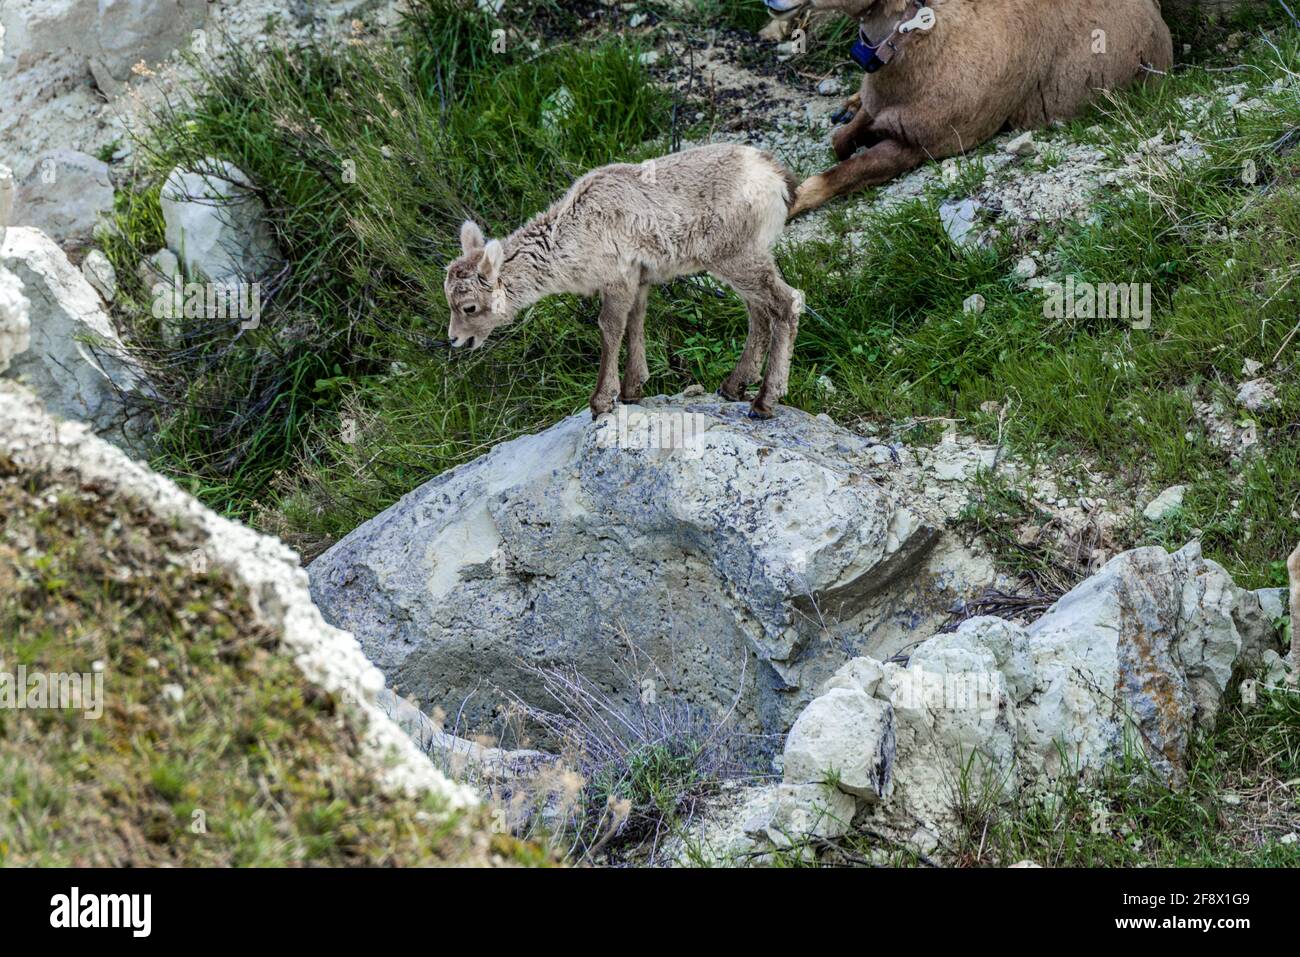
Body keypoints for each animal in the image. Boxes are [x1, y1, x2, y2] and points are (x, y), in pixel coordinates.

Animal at [444, 143, 800, 421]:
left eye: (469, 306)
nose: (456, 340)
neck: (568, 241)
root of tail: (779, 179)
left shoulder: (617, 278)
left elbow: (610, 327)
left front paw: (601, 402)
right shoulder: (639, 281)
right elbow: (635, 323)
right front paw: (633, 390)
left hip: (736, 256)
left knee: (787, 302)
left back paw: (764, 402)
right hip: (742, 259)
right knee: (759, 312)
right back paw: (733, 386)